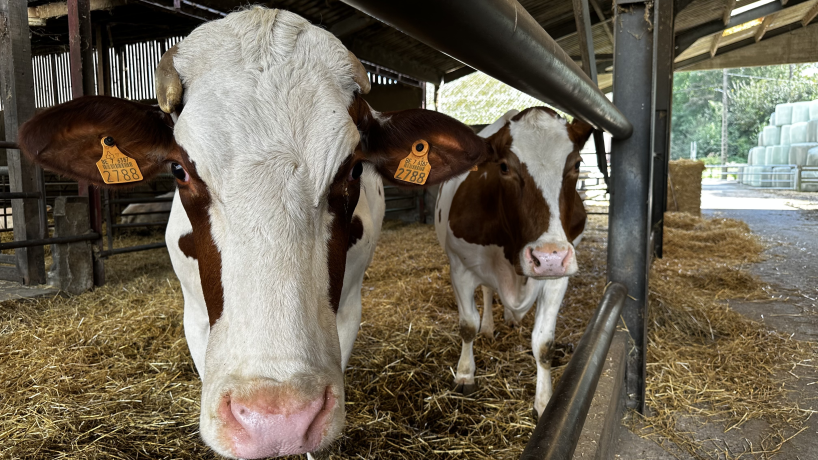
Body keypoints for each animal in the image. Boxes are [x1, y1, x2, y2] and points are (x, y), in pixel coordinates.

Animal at [434, 107, 593, 418]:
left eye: (577, 164)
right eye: (505, 167)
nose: (549, 257)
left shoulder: (558, 279)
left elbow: (543, 344)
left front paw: (544, 402)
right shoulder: (459, 267)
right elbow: (467, 325)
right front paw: (465, 374)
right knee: (486, 291)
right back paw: (488, 327)